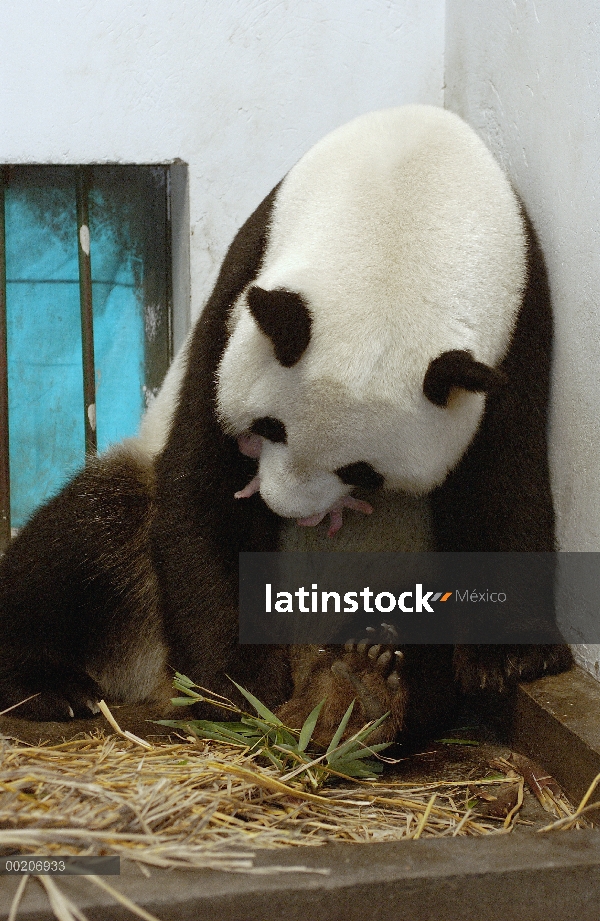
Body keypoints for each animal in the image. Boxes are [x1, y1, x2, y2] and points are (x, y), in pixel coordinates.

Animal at [0, 104, 572, 744]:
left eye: (363, 472)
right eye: (269, 428)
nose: (284, 510)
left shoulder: (518, 326)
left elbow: (503, 478)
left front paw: (512, 657)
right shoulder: (241, 291)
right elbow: (202, 478)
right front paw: (238, 683)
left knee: (422, 657)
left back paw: (362, 687)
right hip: (135, 567)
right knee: (85, 535)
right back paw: (53, 685)